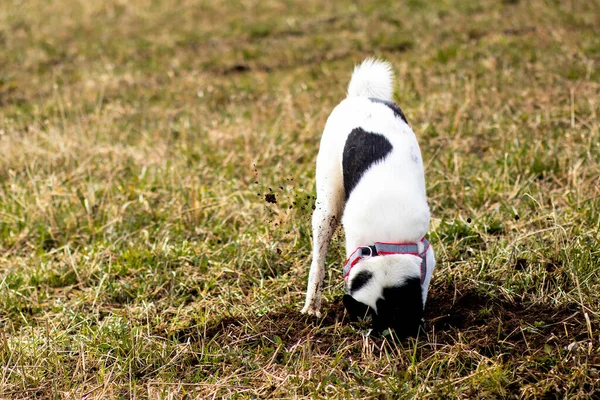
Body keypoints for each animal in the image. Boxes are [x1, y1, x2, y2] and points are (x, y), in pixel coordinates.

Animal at [300, 57, 436, 336]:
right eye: (369, 320)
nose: (386, 338)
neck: (385, 238)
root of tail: (360, 97)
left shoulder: (426, 256)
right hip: (327, 206)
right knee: (318, 257)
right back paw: (312, 305)